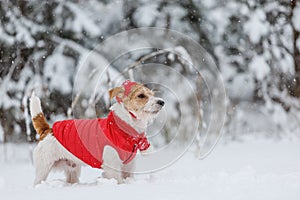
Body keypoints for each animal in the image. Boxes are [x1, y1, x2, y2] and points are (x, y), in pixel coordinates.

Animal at [30, 79, 164, 184]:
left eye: (152, 94)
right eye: (141, 95)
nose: (162, 102)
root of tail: (47, 130)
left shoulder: (128, 166)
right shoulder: (112, 166)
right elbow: (118, 180)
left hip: (72, 169)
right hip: (43, 168)